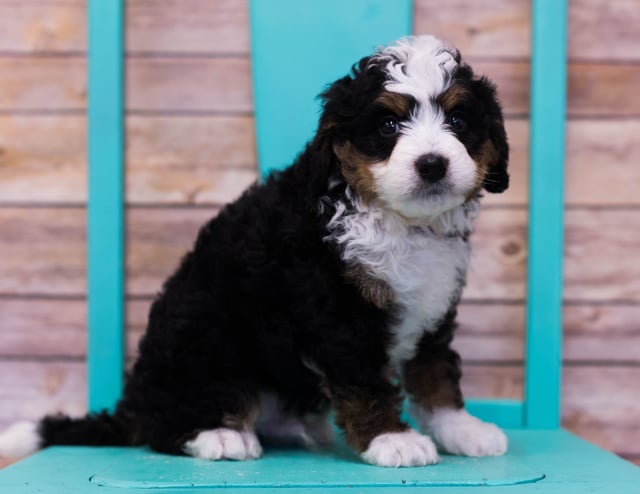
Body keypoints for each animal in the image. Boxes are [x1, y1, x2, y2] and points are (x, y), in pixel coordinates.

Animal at [0, 34, 510, 466]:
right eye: (387, 125)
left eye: (459, 121)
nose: (432, 164)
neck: (403, 223)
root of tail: (134, 404)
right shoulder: (337, 311)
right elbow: (364, 379)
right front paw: (392, 439)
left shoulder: (433, 308)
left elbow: (434, 374)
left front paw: (461, 429)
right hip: (203, 340)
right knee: (163, 426)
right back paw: (219, 434)